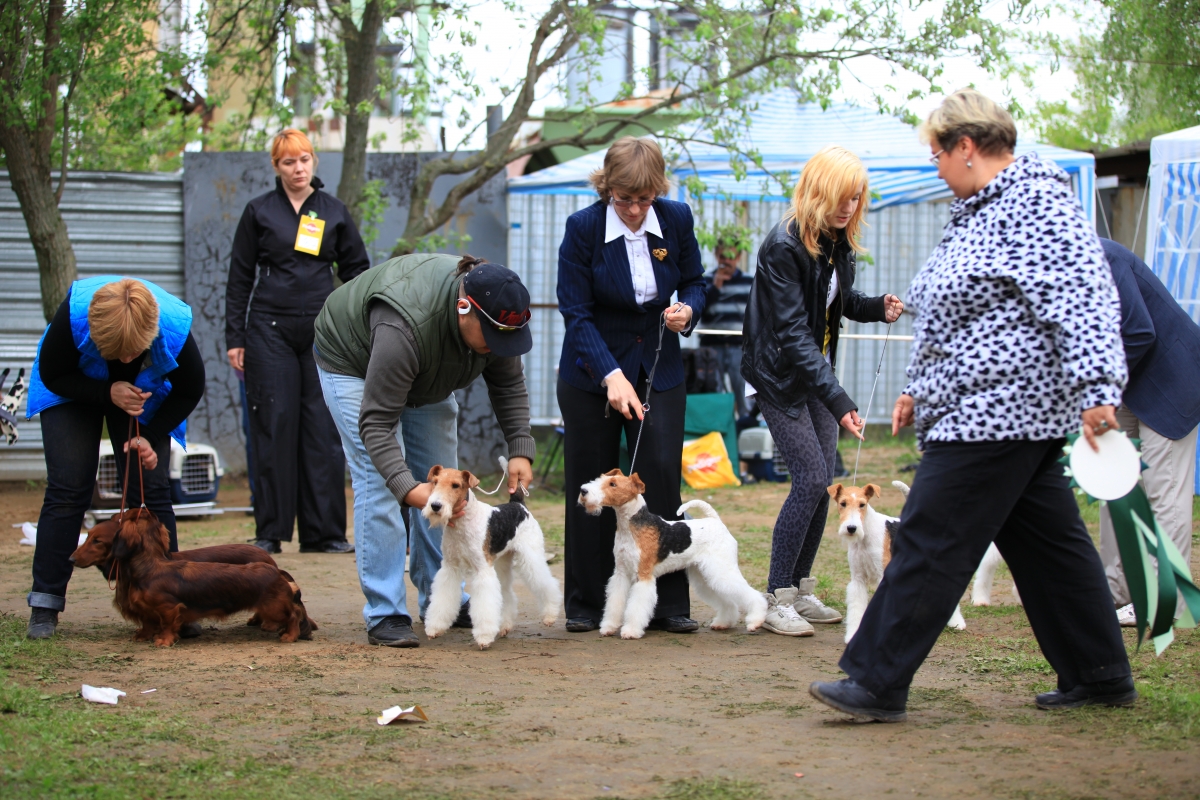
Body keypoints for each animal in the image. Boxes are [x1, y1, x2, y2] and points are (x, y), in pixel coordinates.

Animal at [420, 465, 559, 647]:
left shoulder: (482, 569)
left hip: (531, 556)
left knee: (547, 583)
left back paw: (550, 616)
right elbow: (442, 599)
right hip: (501, 562)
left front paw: (484, 637)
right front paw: (434, 628)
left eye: (455, 485)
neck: (462, 522)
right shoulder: (450, 568)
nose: (435, 506)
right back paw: (504, 626)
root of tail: (518, 504)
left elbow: (485, 605)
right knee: (506, 593)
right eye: (435, 482)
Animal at [573, 470, 763, 638]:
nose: (583, 491)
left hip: (721, 569)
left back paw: (755, 621)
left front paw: (631, 631)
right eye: (601, 479)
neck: (630, 527)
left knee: (751, 594)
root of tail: (715, 520)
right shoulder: (621, 573)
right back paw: (723, 622)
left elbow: (636, 607)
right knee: (727, 600)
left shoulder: (643, 575)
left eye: (613, 484)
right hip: (705, 575)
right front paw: (608, 627)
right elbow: (614, 602)